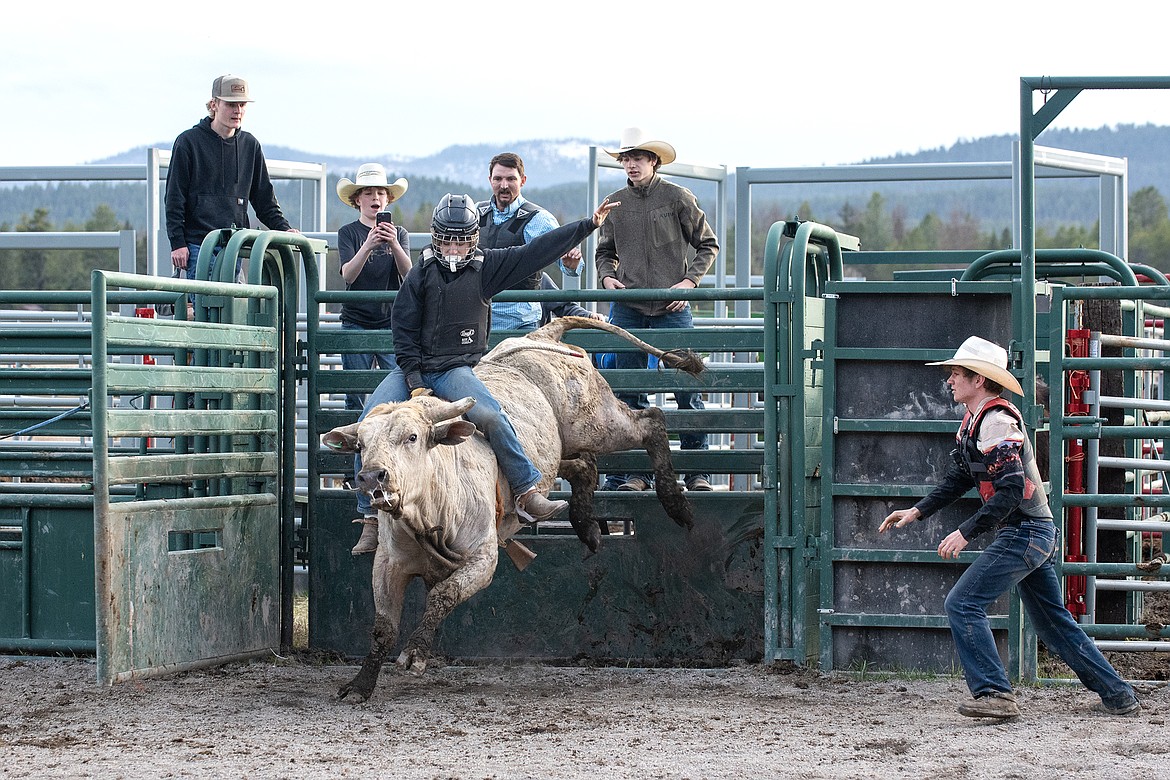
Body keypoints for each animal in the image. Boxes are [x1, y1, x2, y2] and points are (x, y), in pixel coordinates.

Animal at [325, 315, 697, 701]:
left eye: (412, 437)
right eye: (361, 445)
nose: (371, 476)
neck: (428, 511)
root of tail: (543, 335)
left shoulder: (483, 558)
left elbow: (443, 594)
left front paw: (415, 654)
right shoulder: (389, 564)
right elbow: (383, 626)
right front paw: (360, 685)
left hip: (596, 423)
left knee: (651, 421)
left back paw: (677, 506)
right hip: (565, 449)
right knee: (585, 466)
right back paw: (586, 527)